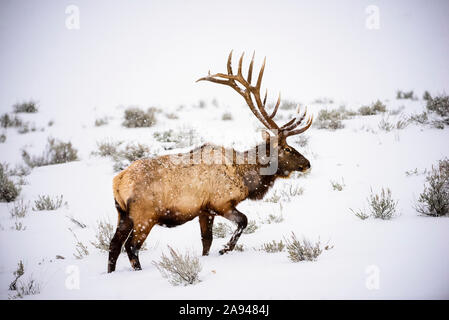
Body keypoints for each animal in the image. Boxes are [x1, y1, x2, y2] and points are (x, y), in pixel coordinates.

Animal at [108, 50, 312, 272]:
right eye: (287, 149)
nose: (307, 164)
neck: (245, 178)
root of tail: (118, 181)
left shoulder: (204, 210)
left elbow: (206, 241)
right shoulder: (220, 203)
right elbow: (243, 221)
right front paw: (225, 249)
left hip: (123, 214)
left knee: (114, 245)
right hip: (145, 216)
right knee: (131, 247)